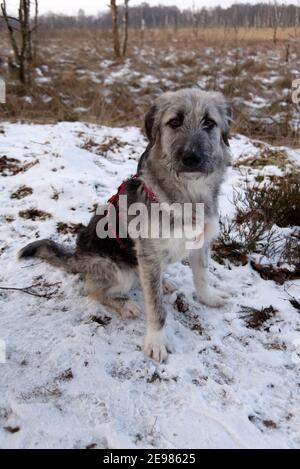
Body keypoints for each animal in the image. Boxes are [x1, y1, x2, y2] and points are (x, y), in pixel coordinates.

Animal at [18, 89, 233, 364]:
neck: (187, 195)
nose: (191, 158)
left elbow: (202, 277)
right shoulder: (149, 256)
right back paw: (125, 304)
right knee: (92, 289)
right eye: (174, 122)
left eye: (209, 123)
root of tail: (76, 257)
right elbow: (156, 307)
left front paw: (209, 298)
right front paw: (156, 340)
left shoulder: (200, 243)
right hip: (119, 272)